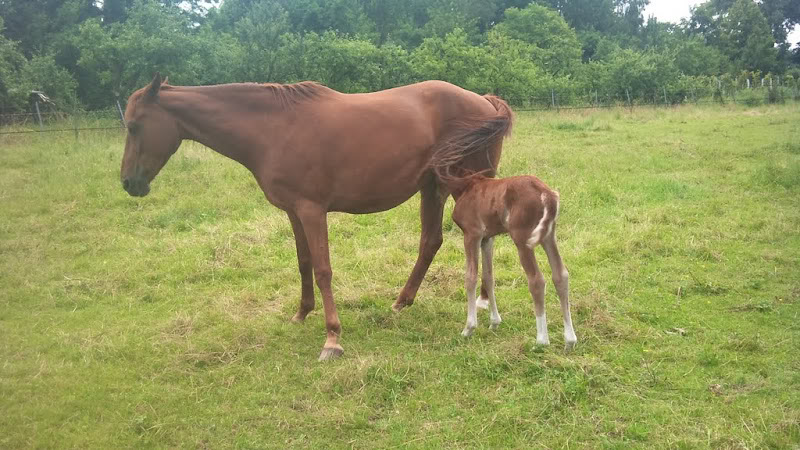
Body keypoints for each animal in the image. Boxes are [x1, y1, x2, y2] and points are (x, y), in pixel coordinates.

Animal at [450, 174, 576, 350]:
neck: (465, 185)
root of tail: (546, 193)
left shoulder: (472, 234)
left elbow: (471, 277)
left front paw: (469, 328)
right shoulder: (487, 238)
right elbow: (488, 277)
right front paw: (494, 322)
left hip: (522, 238)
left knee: (536, 280)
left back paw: (541, 341)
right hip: (548, 236)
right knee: (561, 275)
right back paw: (570, 341)